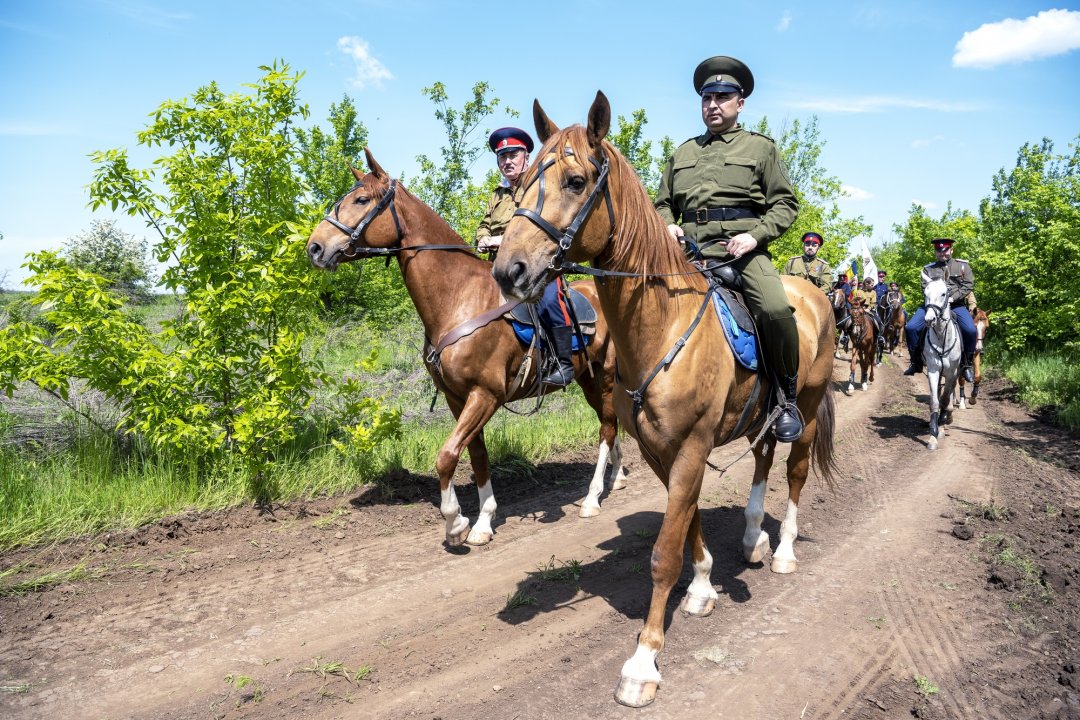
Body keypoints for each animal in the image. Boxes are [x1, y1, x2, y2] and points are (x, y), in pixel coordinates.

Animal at [306, 151, 626, 546]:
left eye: (362, 200)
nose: (314, 247)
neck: (459, 299)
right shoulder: (457, 398)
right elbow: (477, 456)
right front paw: (483, 520)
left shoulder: (484, 395)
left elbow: (446, 456)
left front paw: (456, 523)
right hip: (588, 380)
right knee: (610, 424)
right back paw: (618, 475)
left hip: (605, 376)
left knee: (607, 428)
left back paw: (593, 497)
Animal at [490, 92, 833, 708]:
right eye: (523, 181)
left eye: (575, 181)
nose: (510, 270)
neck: (661, 324)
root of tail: (816, 296)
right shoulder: (660, 450)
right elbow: (687, 519)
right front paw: (702, 587)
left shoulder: (692, 447)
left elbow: (662, 553)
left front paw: (643, 661)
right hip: (760, 417)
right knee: (763, 459)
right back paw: (752, 538)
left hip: (809, 408)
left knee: (794, 473)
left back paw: (784, 551)